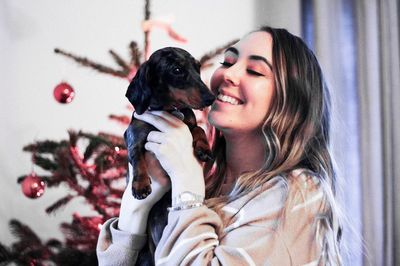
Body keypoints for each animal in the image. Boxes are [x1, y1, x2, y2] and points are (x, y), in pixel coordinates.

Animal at [125, 46, 216, 198]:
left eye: (198, 67)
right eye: (177, 70)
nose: (211, 98)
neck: (169, 109)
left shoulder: (191, 124)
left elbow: (199, 129)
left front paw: (204, 148)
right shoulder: (134, 137)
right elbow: (136, 158)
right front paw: (140, 185)